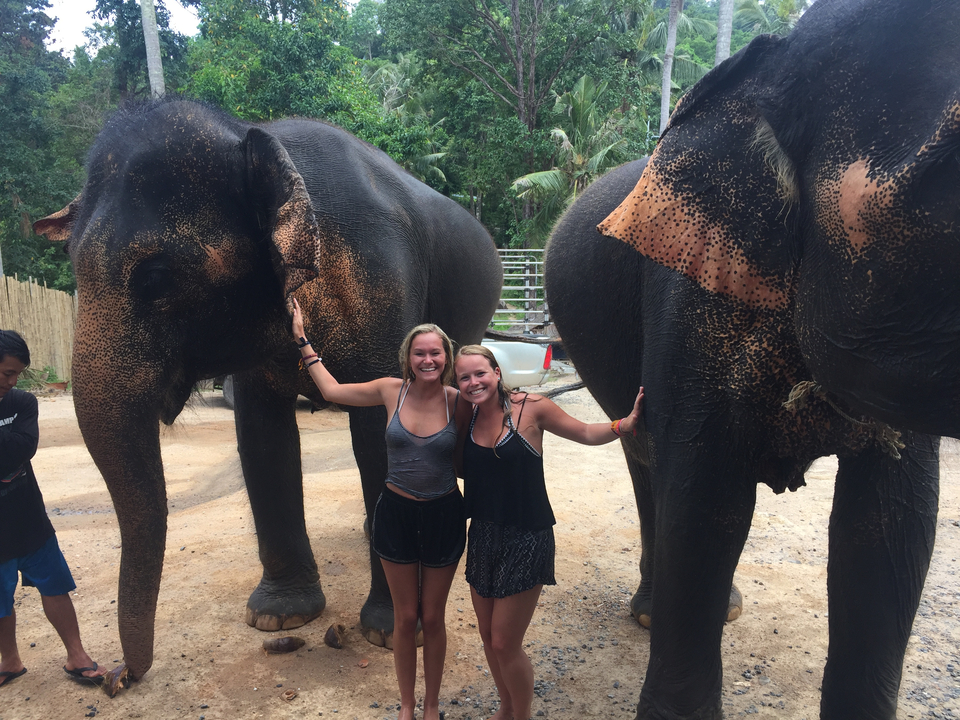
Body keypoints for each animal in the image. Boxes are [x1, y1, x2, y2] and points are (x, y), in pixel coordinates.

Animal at [33, 98, 502, 686]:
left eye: (157, 276)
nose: (114, 676)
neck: (252, 141)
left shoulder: (383, 285)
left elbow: (380, 435)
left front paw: (392, 630)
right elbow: (261, 435)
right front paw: (279, 617)